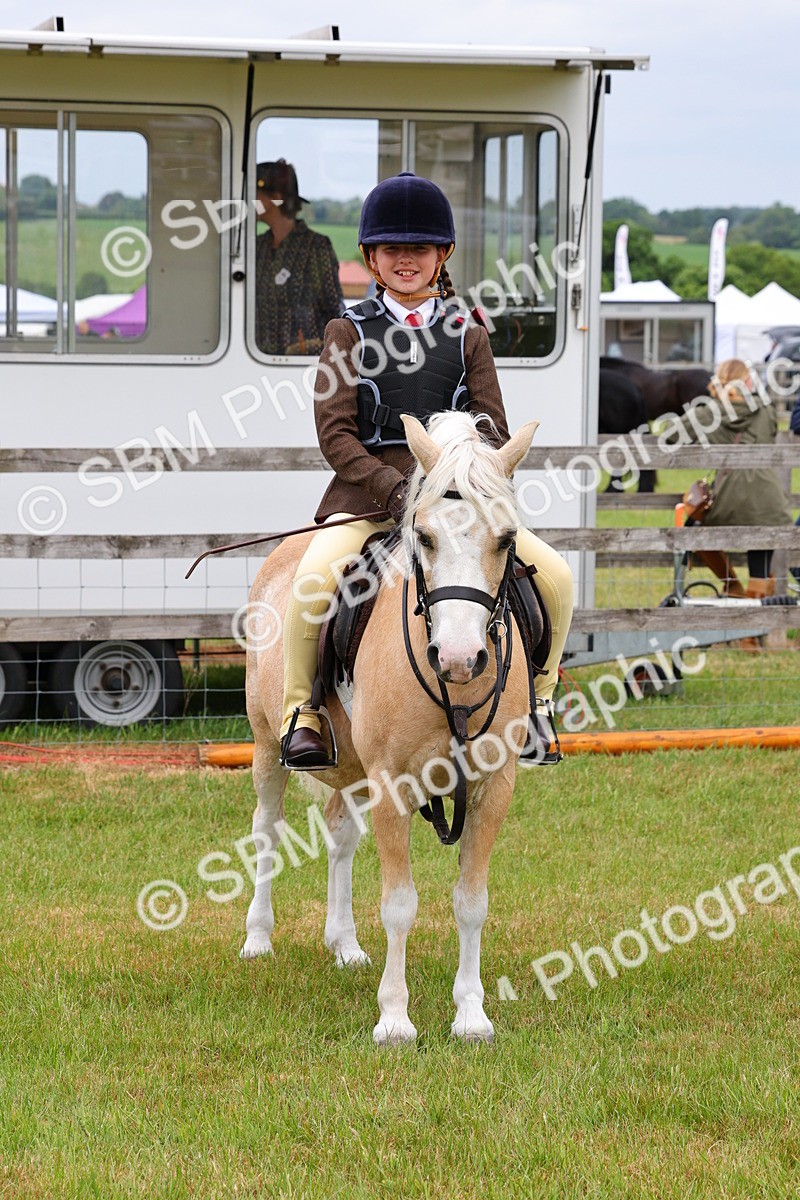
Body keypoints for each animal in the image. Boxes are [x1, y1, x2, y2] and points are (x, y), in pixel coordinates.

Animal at [241, 410, 538, 1045]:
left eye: (506, 540)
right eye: (423, 536)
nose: (459, 658)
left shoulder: (493, 786)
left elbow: (471, 901)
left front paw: (471, 1014)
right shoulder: (392, 783)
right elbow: (400, 904)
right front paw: (395, 1020)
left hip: (352, 770)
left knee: (340, 835)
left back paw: (344, 944)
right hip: (266, 745)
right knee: (266, 829)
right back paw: (257, 938)